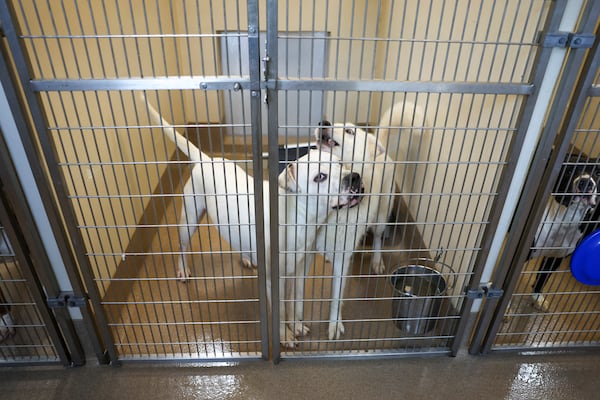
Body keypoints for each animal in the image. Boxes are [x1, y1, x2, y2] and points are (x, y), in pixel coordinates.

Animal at [138, 94, 364, 346]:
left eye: (341, 165)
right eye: (320, 177)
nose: (354, 178)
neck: (296, 217)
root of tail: (207, 159)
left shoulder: (299, 270)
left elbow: (295, 301)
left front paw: (296, 325)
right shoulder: (274, 280)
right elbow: (280, 310)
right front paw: (285, 335)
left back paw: (246, 257)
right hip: (190, 219)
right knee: (182, 246)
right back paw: (183, 269)